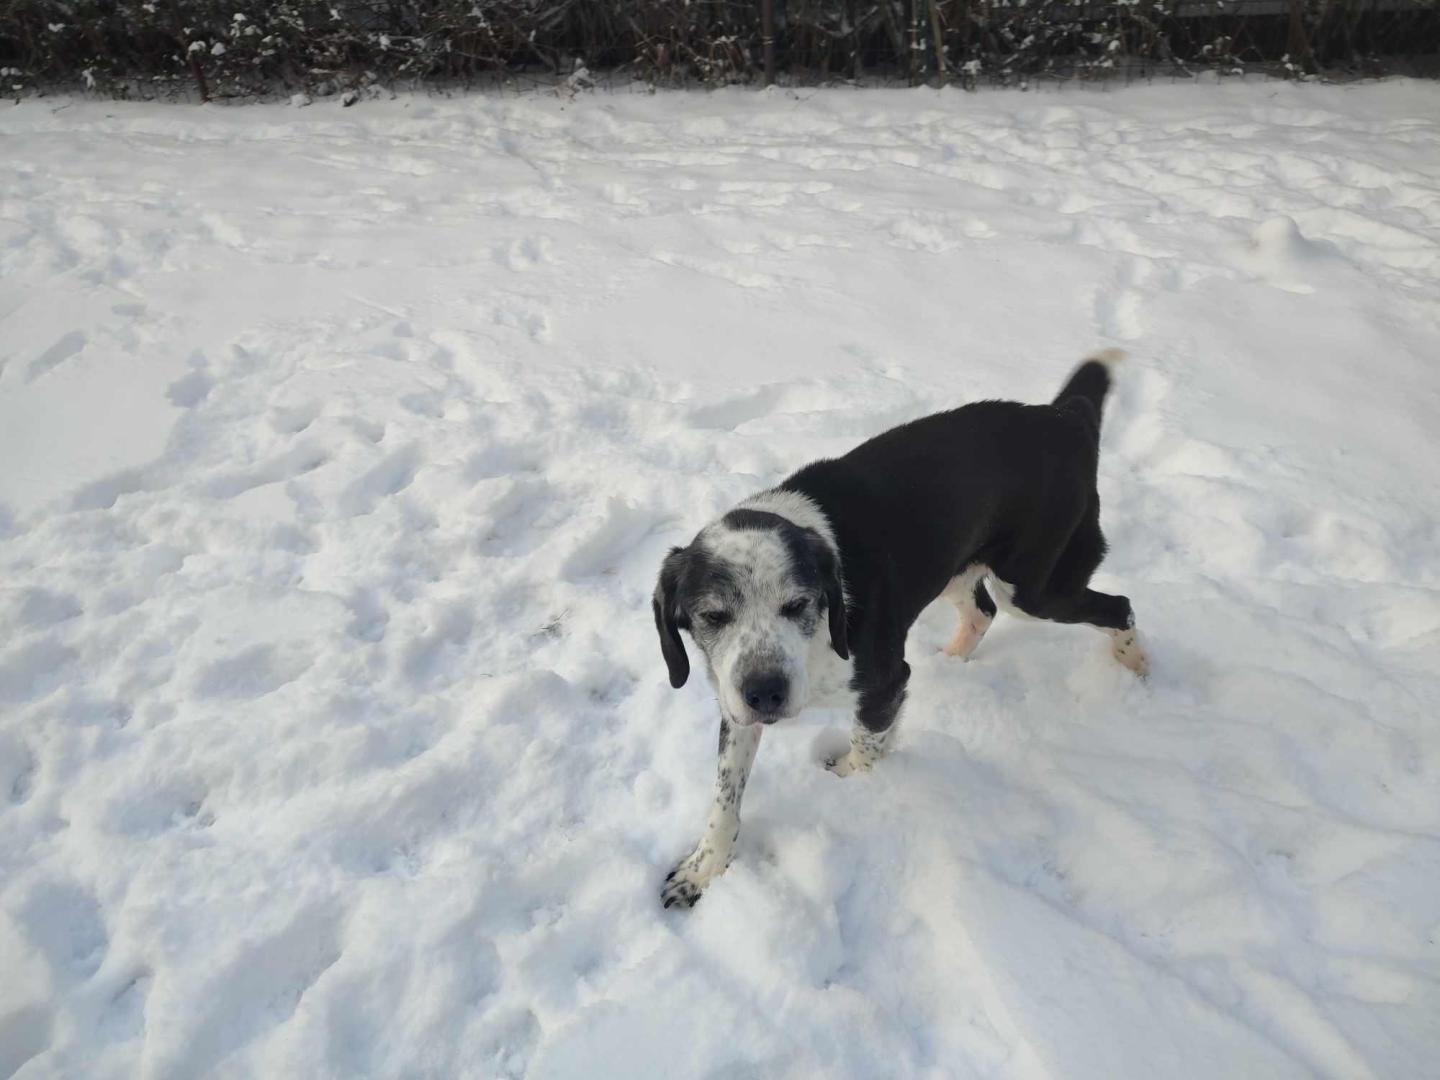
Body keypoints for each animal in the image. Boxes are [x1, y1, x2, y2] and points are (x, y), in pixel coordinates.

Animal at [653, 349, 1147, 908]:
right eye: (712, 616)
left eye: (798, 603)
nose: (766, 693)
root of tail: (1064, 417)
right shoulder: (735, 700)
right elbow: (724, 796)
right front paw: (703, 870)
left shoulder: (884, 681)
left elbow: (865, 748)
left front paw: (852, 779)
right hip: (957, 565)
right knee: (982, 612)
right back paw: (951, 660)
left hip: (1035, 588)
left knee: (1117, 607)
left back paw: (1136, 671)